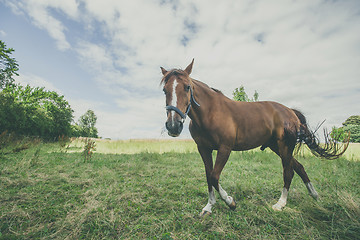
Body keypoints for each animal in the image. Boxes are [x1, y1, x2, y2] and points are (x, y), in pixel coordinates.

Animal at [159, 59, 348, 217]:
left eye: (187, 87)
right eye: (164, 90)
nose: (173, 126)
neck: (211, 112)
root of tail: (290, 111)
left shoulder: (225, 148)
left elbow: (214, 176)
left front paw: (230, 202)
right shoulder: (203, 149)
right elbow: (208, 176)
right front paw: (209, 206)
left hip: (285, 146)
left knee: (288, 172)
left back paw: (280, 204)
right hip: (276, 147)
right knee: (299, 168)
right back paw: (314, 195)